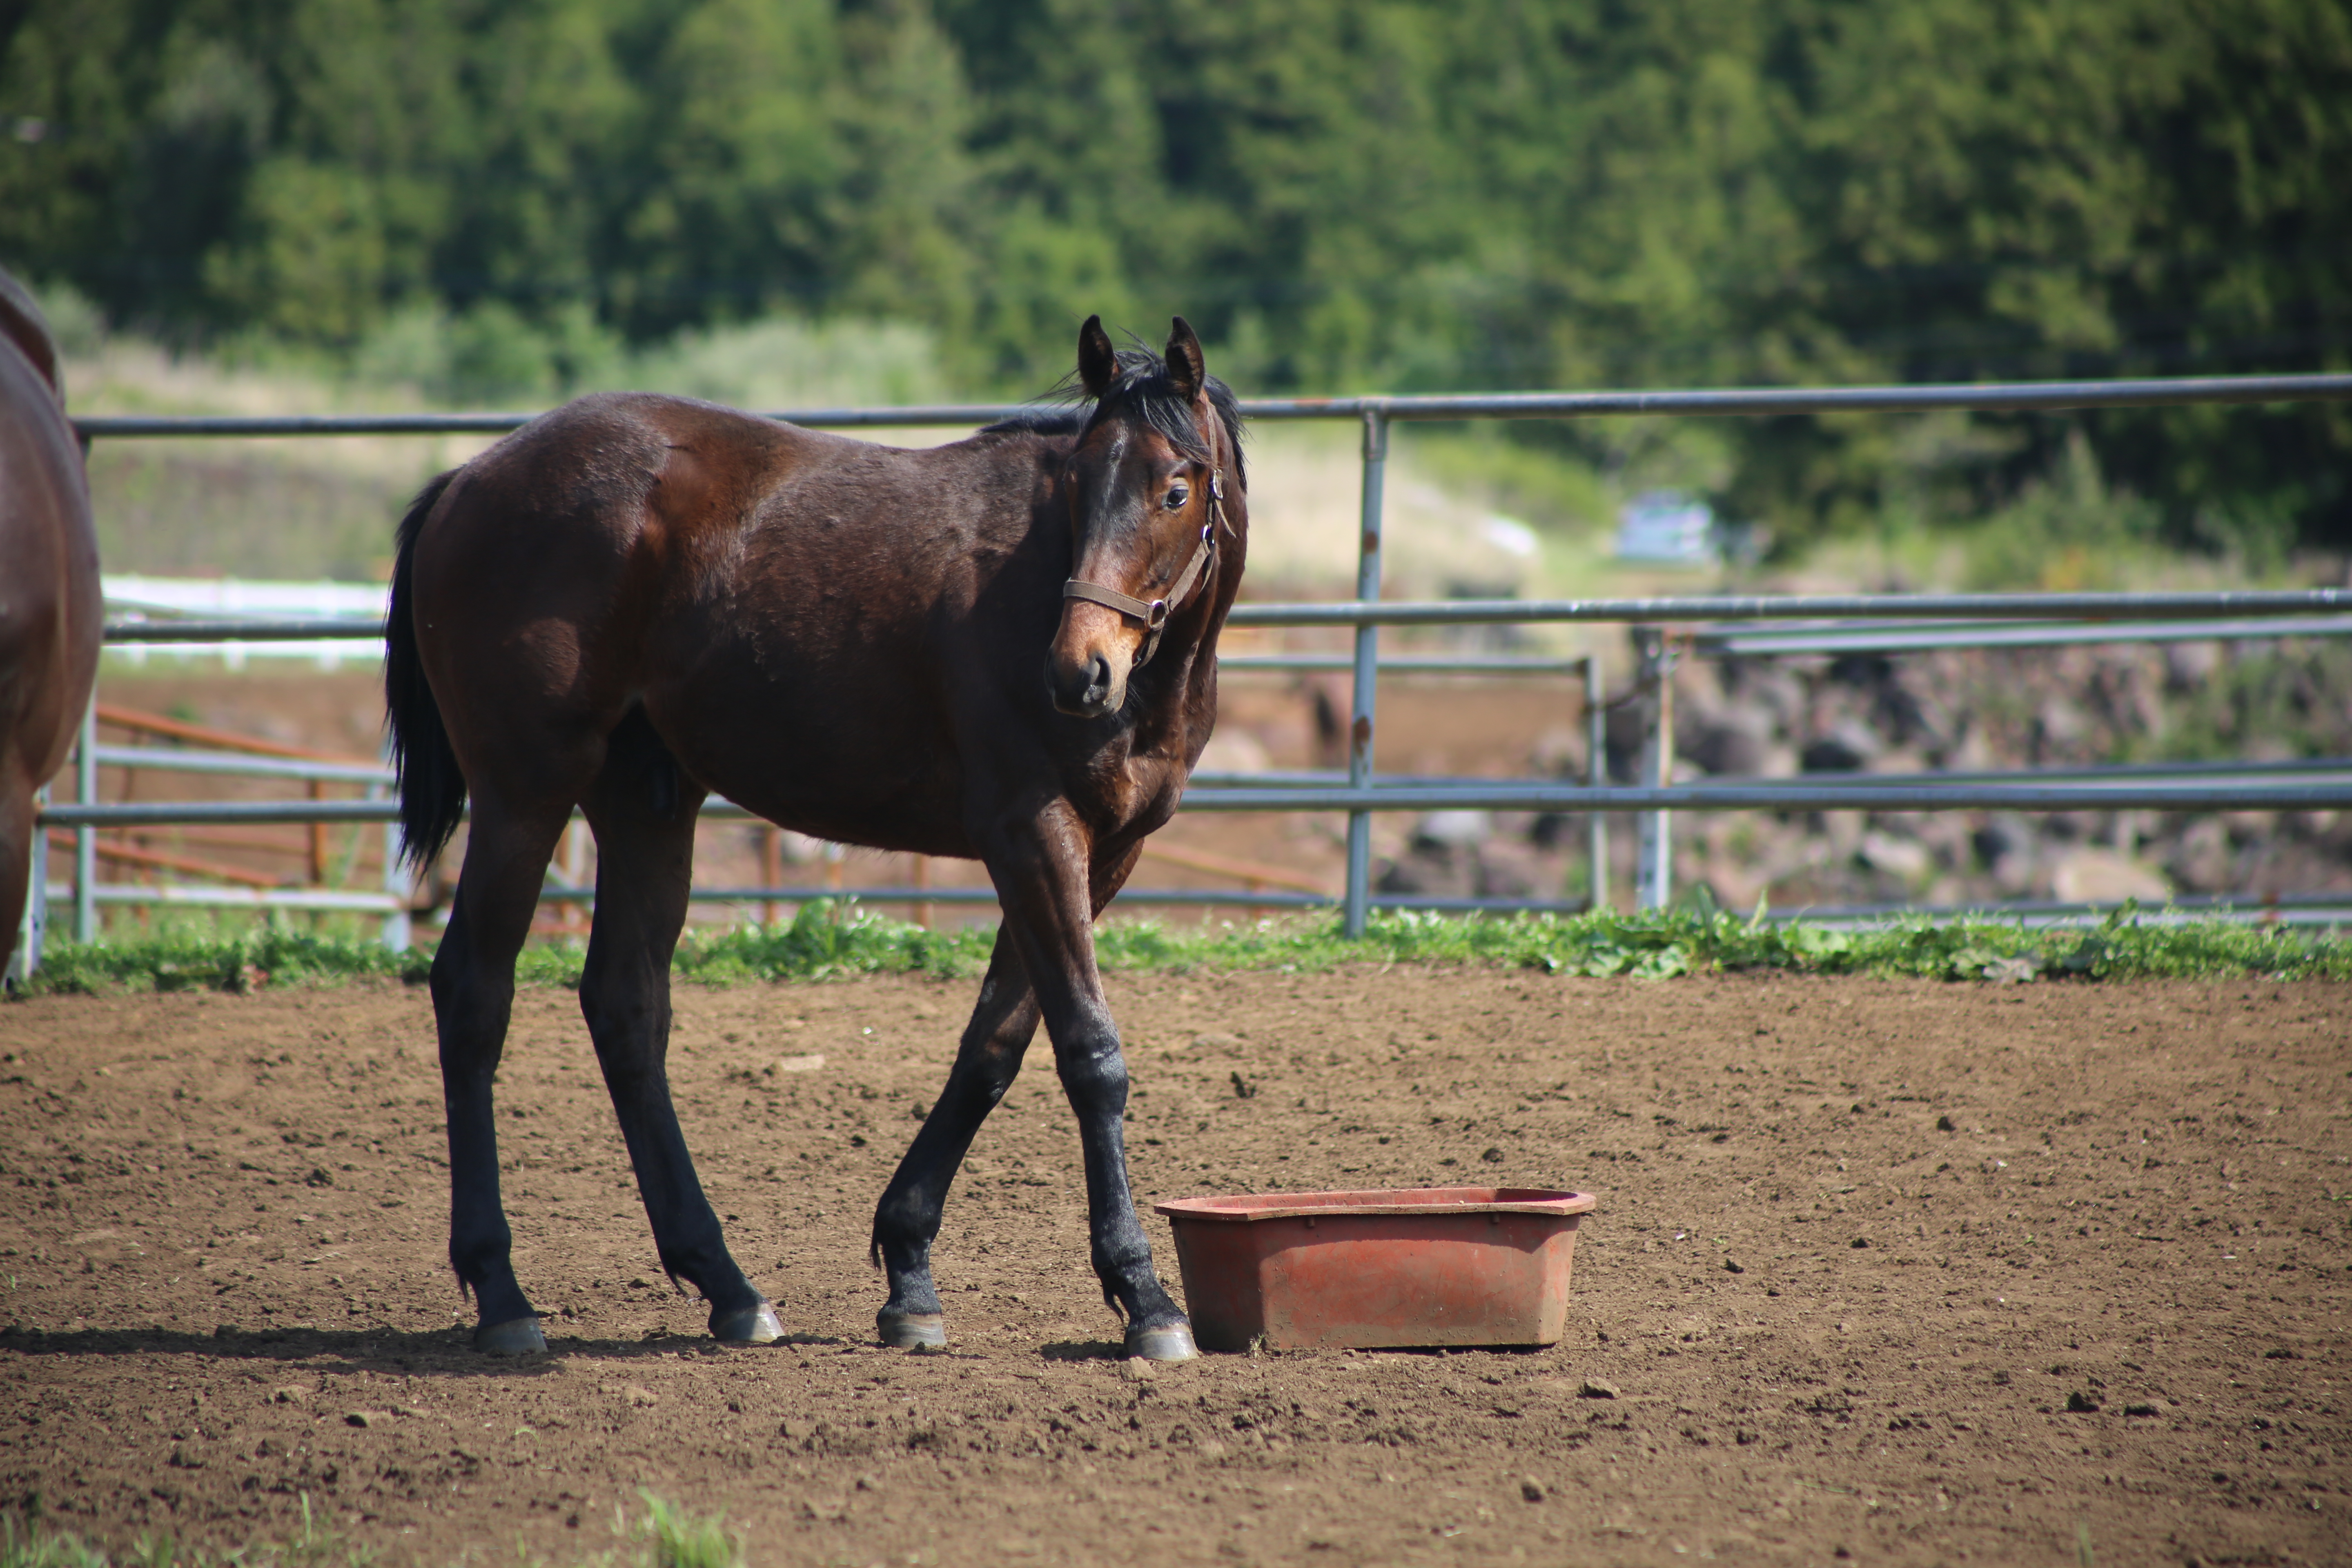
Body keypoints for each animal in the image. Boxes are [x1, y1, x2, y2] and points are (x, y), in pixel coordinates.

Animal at [381, 312, 1251, 1354]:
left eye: (1175, 488)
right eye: (1079, 483)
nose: (1077, 671)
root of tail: (468, 480)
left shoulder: (1103, 853)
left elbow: (992, 1049)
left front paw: (909, 1269)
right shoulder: (1032, 833)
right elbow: (1089, 1055)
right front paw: (1143, 1294)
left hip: (644, 803)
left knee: (625, 1007)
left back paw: (725, 1283)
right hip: (523, 794)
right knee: (474, 994)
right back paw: (503, 1291)